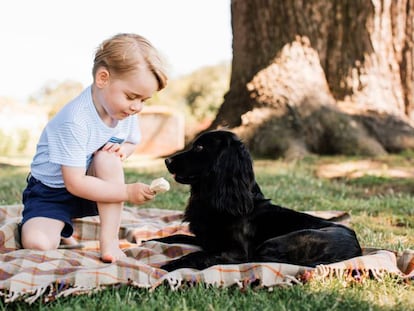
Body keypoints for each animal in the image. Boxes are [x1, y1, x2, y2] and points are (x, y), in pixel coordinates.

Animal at [154, 130, 360, 272]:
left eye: (200, 147)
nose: (167, 160)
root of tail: (357, 250)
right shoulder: (205, 239)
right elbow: (176, 236)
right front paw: (152, 240)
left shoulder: (236, 251)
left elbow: (198, 254)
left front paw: (168, 266)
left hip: (278, 242)